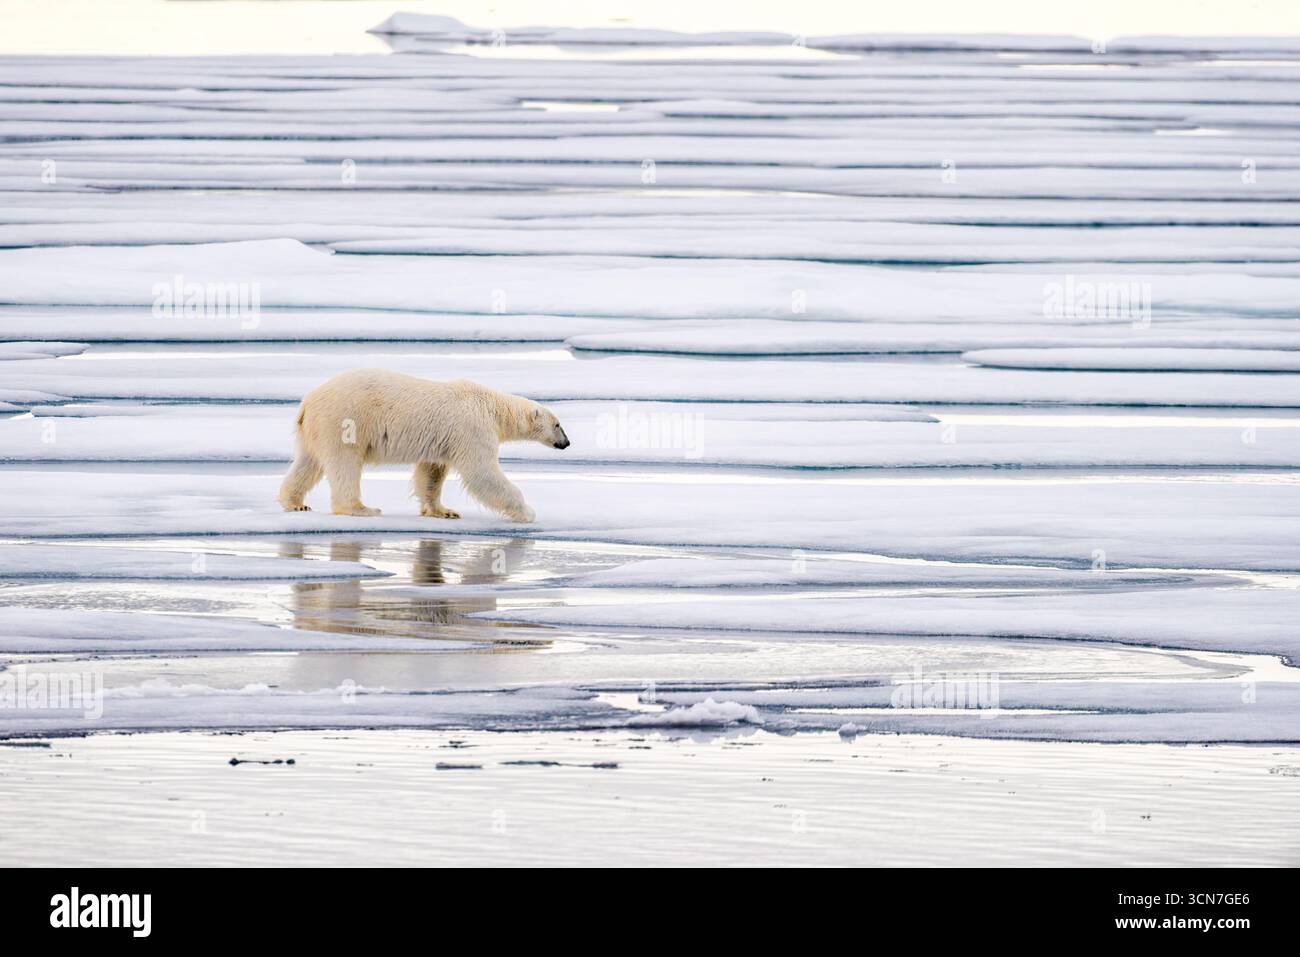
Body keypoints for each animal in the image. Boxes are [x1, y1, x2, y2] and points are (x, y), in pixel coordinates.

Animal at [278, 368, 569, 522]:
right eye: (557, 424)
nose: (566, 442)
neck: (493, 407)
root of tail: (308, 402)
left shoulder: (443, 441)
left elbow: (431, 473)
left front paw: (443, 511)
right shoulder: (472, 429)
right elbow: (482, 473)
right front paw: (527, 511)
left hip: (315, 429)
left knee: (308, 463)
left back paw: (295, 502)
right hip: (344, 421)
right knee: (344, 464)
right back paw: (362, 508)